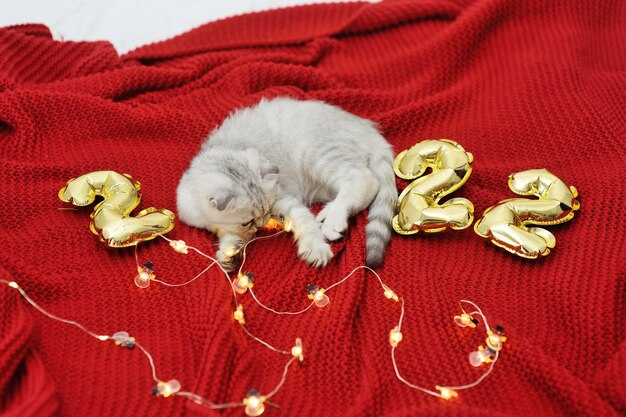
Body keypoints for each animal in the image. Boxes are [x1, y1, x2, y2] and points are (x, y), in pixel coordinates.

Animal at [176, 97, 394, 270]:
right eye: (247, 222)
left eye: (266, 211)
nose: (261, 224)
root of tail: (365, 127)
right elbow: (230, 234)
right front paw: (230, 253)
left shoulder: (284, 196)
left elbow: (305, 221)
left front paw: (316, 247)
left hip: (316, 152)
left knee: (364, 178)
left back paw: (333, 218)